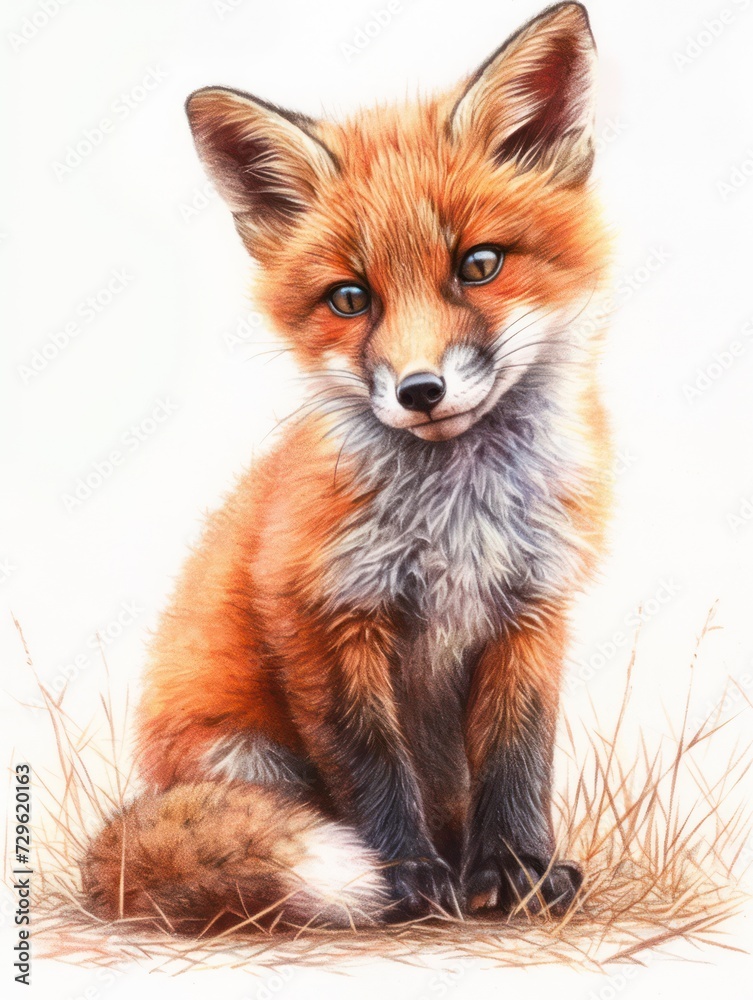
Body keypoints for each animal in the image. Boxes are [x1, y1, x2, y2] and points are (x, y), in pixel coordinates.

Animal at [81, 2, 612, 931]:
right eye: (350, 298)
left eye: (478, 264)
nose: (420, 390)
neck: (457, 516)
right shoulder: (321, 611)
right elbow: (369, 769)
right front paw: (407, 879)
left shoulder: (531, 609)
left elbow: (517, 757)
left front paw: (513, 869)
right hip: (244, 750)